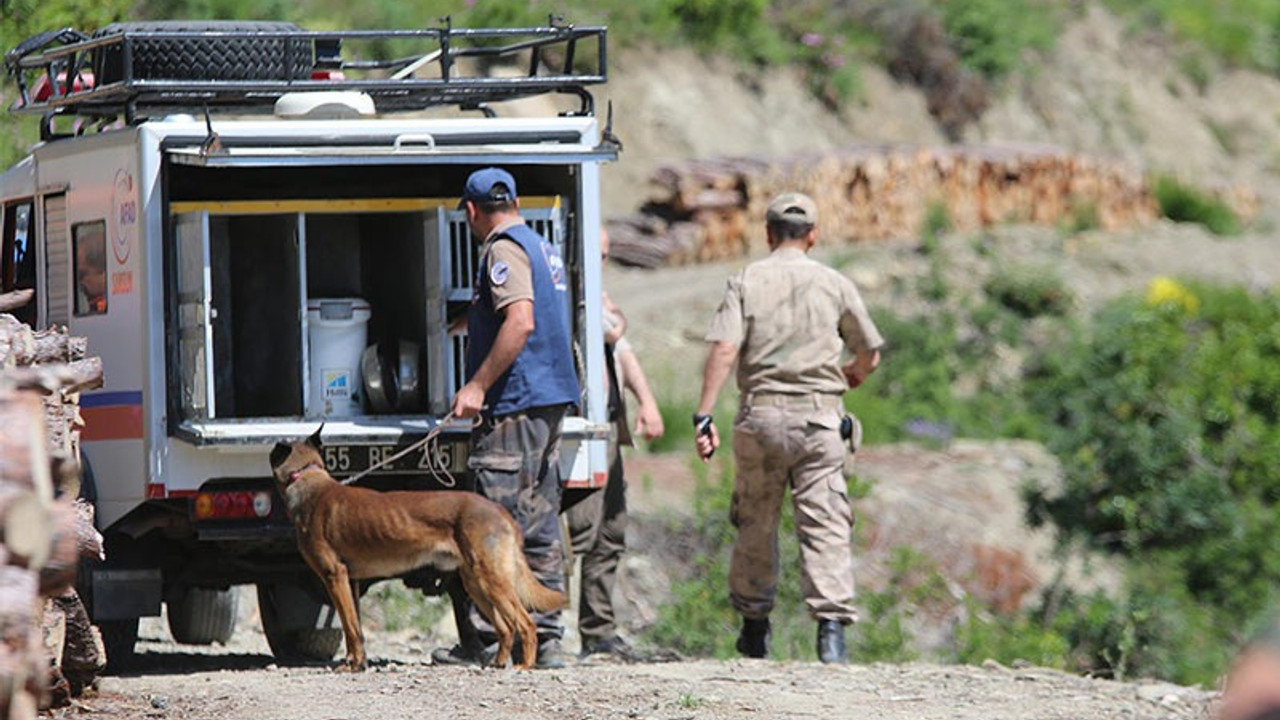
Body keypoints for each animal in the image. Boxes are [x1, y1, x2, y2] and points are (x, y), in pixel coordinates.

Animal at [267, 425, 563, 666]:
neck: (308, 482)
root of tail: (499, 510)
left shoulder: (334, 576)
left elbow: (350, 627)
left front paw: (354, 665)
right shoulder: (349, 581)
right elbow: (355, 629)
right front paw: (356, 662)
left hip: (493, 580)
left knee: (525, 624)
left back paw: (524, 666)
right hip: (476, 583)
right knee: (505, 628)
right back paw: (498, 664)